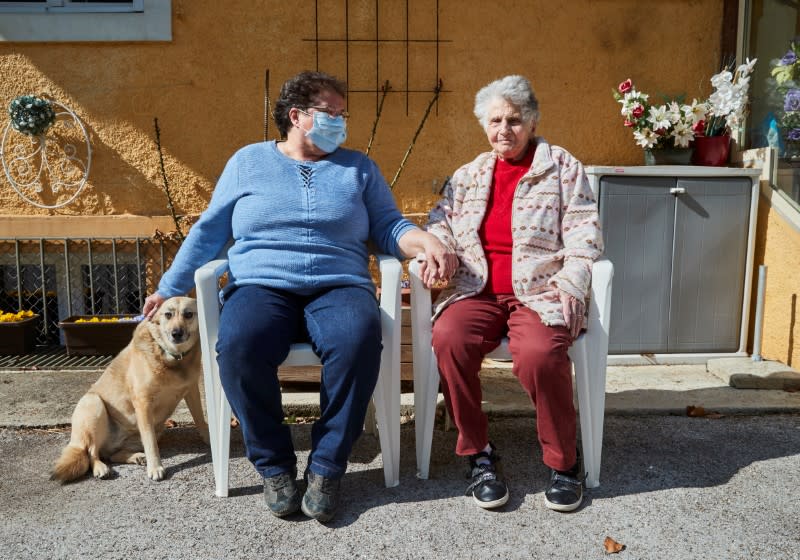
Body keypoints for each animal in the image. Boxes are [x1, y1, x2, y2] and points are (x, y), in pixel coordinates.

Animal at [50, 296, 209, 484]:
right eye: (168, 315)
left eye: (188, 314)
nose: (176, 333)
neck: (171, 357)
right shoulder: (143, 403)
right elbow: (151, 443)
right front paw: (155, 467)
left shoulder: (191, 391)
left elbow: (200, 419)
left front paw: (210, 439)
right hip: (93, 404)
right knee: (91, 452)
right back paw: (100, 468)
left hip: (156, 430)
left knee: (111, 455)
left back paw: (135, 457)